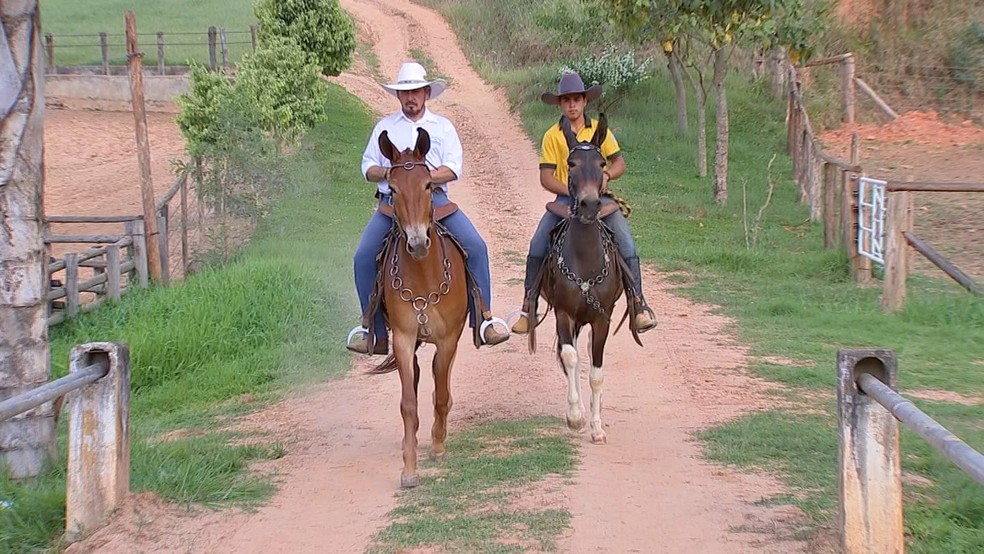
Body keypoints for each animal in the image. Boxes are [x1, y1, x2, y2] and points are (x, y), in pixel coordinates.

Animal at [368, 126, 470, 488]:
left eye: (428, 184)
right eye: (393, 188)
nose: (417, 242)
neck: (425, 275)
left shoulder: (448, 339)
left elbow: (439, 394)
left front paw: (438, 446)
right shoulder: (402, 338)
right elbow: (408, 405)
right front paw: (409, 469)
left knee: (443, 384)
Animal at [528, 113, 648, 444]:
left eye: (602, 163)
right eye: (571, 163)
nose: (590, 205)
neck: (584, 259)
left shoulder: (601, 317)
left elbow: (597, 371)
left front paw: (596, 427)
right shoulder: (564, 313)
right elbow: (571, 358)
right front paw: (575, 416)